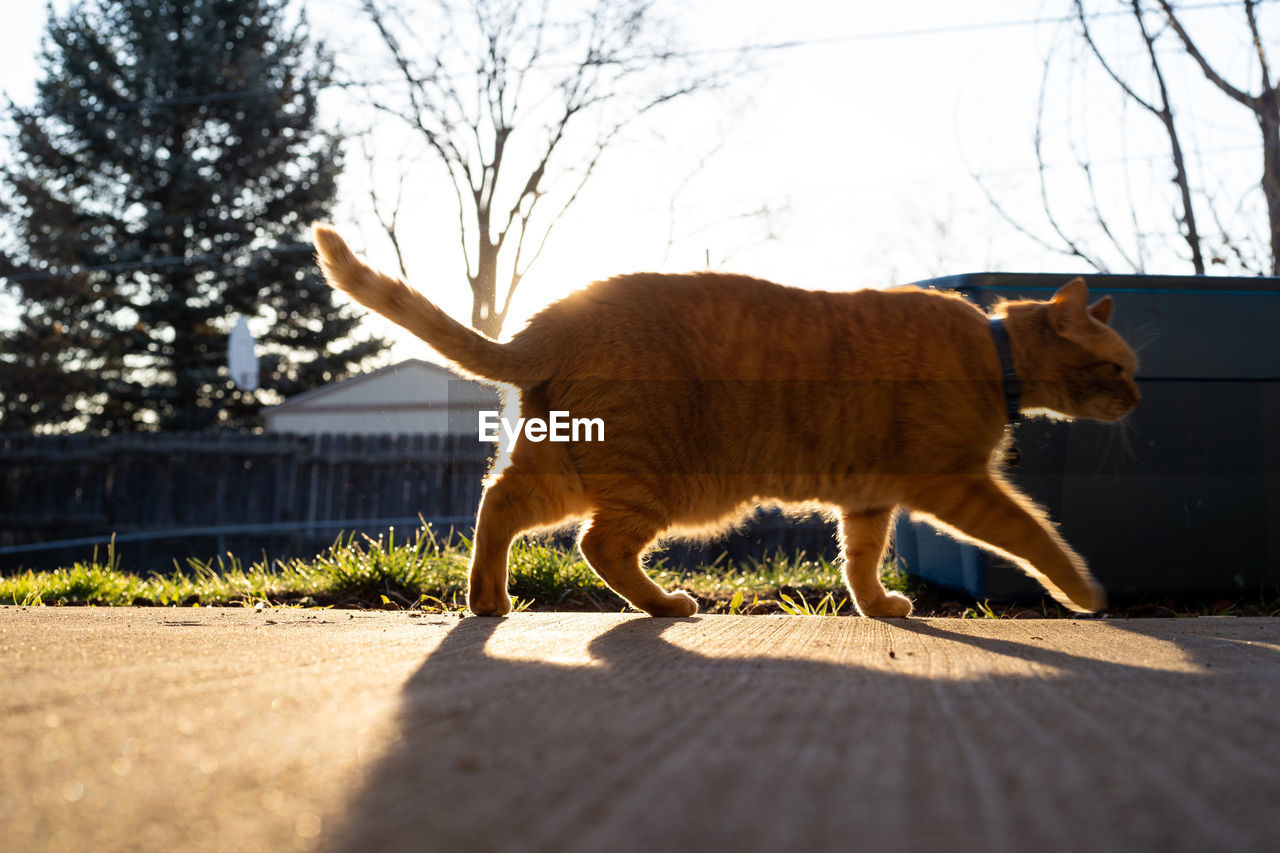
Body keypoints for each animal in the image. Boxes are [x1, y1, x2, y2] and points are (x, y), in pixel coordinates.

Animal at [314, 222, 1146, 614]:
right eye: (1116, 367)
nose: (1139, 398)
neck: (993, 352)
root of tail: (549, 318)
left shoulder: (869, 499)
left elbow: (859, 561)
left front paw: (878, 607)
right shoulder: (955, 483)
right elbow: (1035, 533)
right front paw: (1085, 592)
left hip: (568, 466)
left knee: (499, 503)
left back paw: (489, 598)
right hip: (664, 484)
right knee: (594, 542)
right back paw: (659, 604)